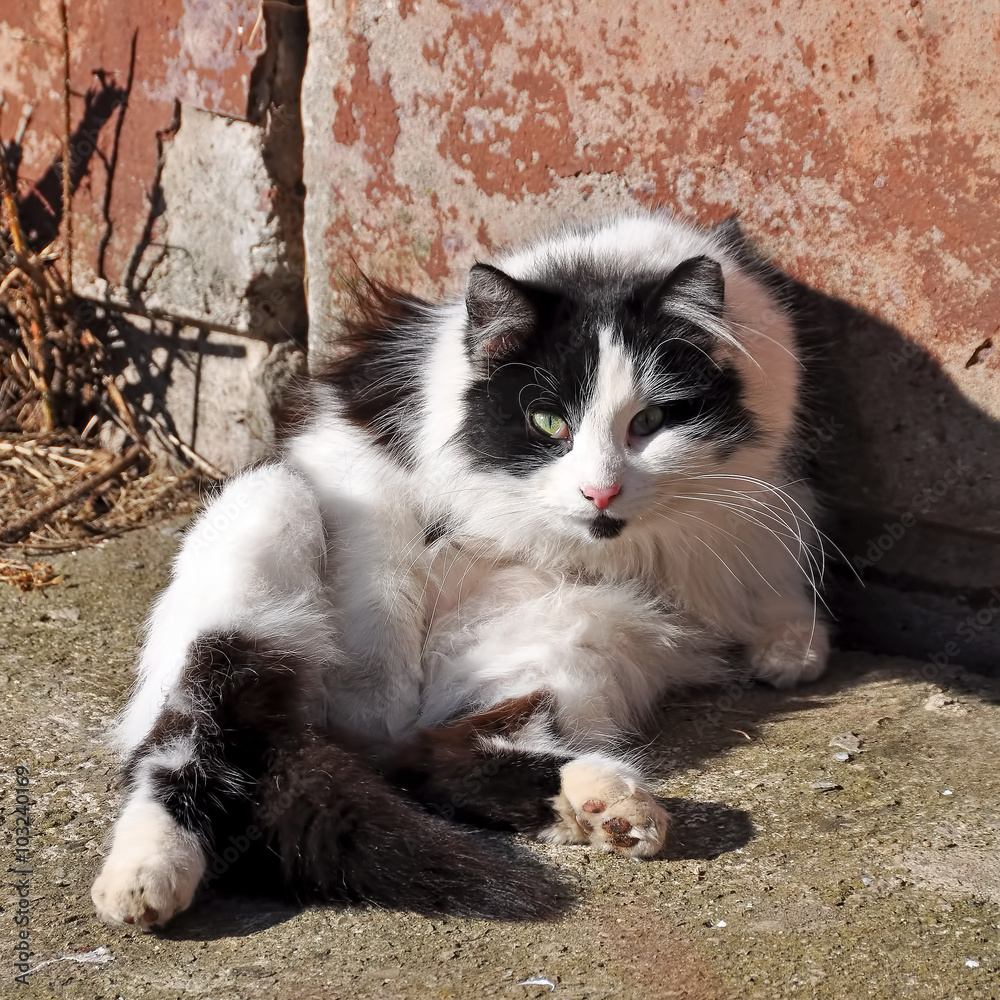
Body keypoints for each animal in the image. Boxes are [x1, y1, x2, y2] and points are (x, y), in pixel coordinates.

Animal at [90, 209, 824, 928]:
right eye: (549, 423)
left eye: (651, 421)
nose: (600, 492)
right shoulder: (367, 450)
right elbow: (390, 576)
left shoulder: (754, 490)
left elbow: (762, 553)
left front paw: (789, 643)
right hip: (264, 508)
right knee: (185, 736)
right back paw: (145, 877)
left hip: (578, 632)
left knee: (446, 754)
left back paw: (610, 808)